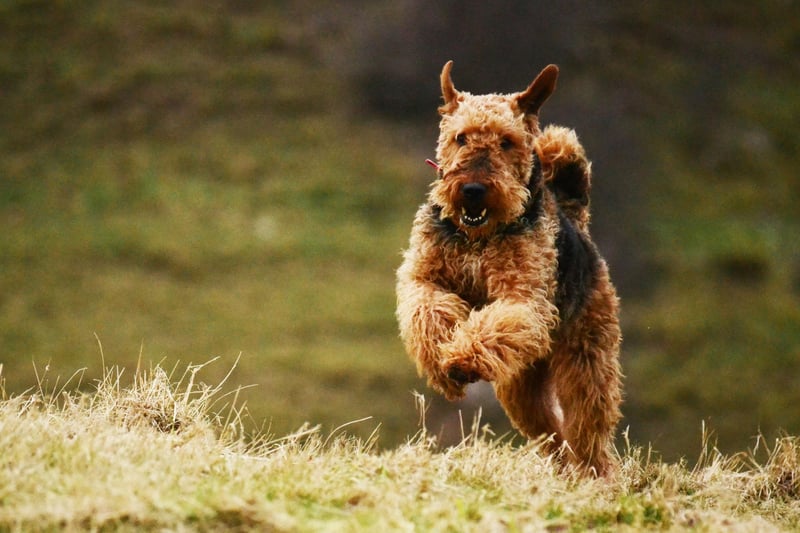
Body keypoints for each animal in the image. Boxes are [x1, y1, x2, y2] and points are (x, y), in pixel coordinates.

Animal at [396, 60, 620, 476]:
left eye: (506, 141)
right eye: (461, 137)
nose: (472, 190)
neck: (477, 237)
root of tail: (575, 218)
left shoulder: (522, 298)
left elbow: (495, 323)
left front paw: (461, 360)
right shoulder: (424, 279)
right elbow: (429, 312)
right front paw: (443, 367)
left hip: (585, 360)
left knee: (587, 430)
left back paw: (595, 475)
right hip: (521, 383)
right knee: (551, 433)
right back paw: (561, 469)